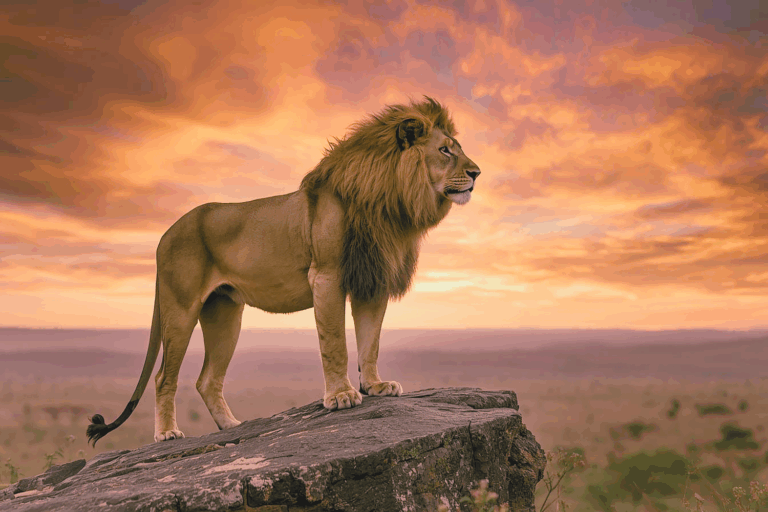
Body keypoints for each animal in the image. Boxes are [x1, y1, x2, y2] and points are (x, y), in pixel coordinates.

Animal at [86, 96, 480, 445]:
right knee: (163, 378)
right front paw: (341, 396)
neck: (389, 200)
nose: (477, 173)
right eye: (445, 150)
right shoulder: (327, 275)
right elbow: (335, 343)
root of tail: (164, 234)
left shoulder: (371, 280)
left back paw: (232, 428)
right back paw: (167, 434)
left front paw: (375, 386)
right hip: (180, 309)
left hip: (224, 315)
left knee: (207, 380)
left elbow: (371, 342)